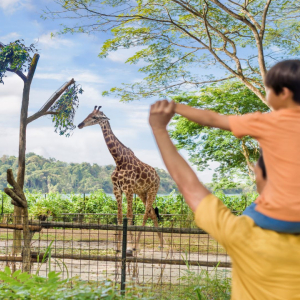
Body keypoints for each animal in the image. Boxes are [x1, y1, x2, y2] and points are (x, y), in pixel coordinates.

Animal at [77, 105, 162, 251]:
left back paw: (137, 246)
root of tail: (158, 176)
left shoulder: (128, 189)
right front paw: (117, 247)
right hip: (142, 192)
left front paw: (129, 245)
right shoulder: (117, 189)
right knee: (152, 213)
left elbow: (129, 215)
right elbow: (119, 216)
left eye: (95, 117)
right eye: (88, 114)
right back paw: (161, 244)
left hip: (152, 190)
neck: (119, 160)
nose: (80, 125)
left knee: (146, 214)